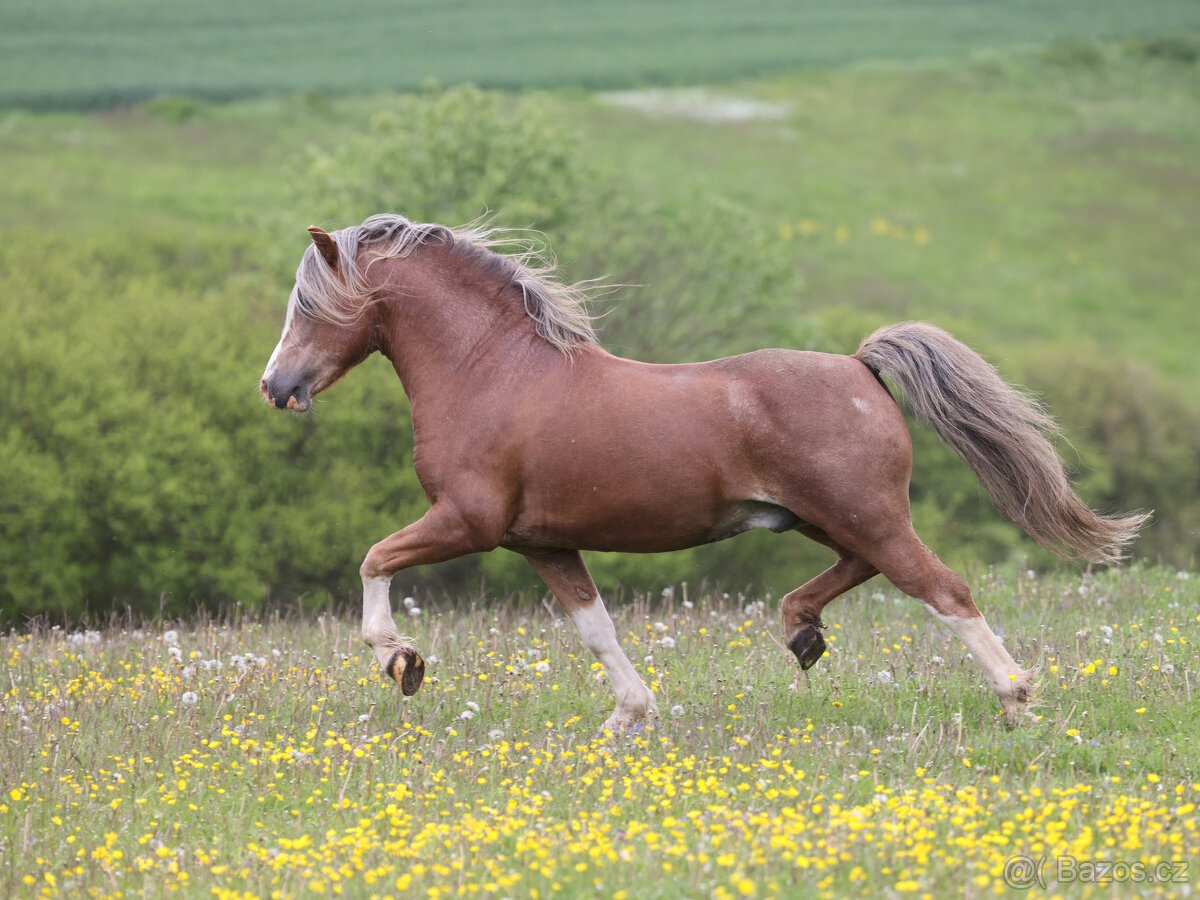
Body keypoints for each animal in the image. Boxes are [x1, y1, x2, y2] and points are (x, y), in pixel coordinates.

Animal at [262, 214, 1142, 729]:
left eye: (309, 306)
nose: (275, 387)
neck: (491, 371)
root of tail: (860, 365)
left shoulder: (467, 522)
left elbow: (374, 560)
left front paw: (401, 661)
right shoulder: (542, 541)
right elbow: (596, 628)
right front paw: (629, 717)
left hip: (865, 514)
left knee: (944, 589)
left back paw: (1015, 697)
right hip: (829, 517)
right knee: (859, 573)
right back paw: (802, 632)